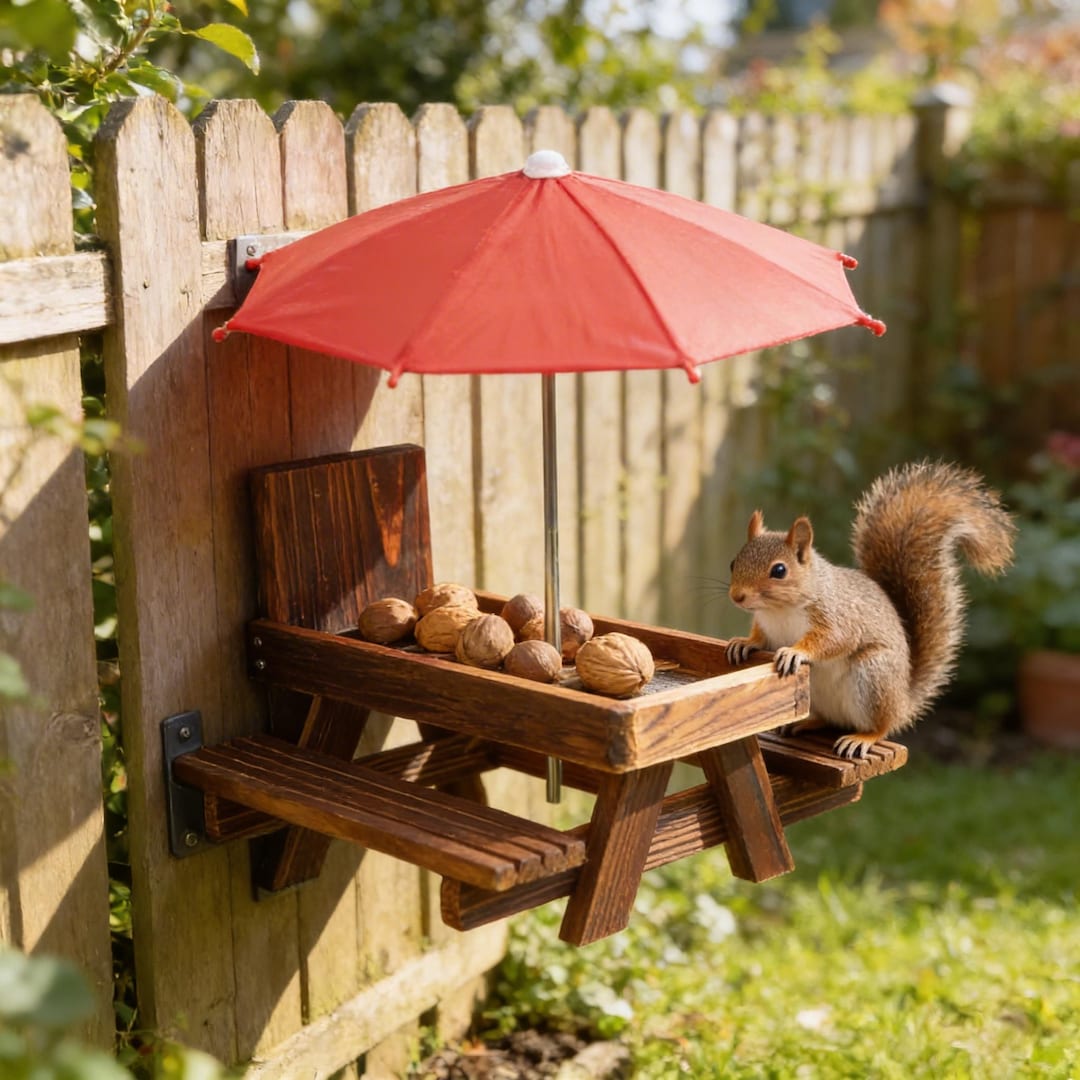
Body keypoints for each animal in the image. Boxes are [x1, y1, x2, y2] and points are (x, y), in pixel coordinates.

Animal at [724, 461, 1016, 759]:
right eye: (734, 563)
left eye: (779, 570)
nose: (737, 596)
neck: (779, 611)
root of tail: (903, 702)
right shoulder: (766, 625)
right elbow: (760, 638)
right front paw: (744, 643)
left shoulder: (837, 615)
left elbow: (834, 639)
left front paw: (796, 652)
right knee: (828, 720)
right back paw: (803, 724)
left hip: (874, 675)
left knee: (881, 726)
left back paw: (862, 738)